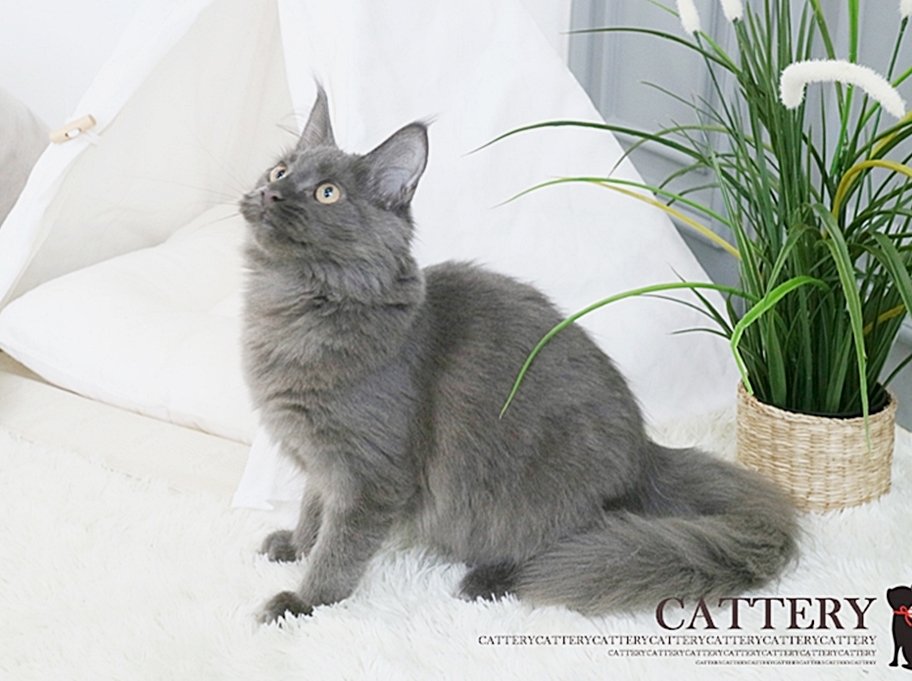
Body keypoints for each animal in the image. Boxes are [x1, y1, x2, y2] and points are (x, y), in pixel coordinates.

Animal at [239, 87, 798, 624]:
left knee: (565, 544)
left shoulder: (370, 472)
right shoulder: (320, 458)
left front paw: (303, 602)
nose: (271, 191)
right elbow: (314, 511)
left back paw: (488, 581)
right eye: (281, 170)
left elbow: (340, 548)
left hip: (540, 491)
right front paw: (295, 546)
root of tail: (646, 455)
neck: (293, 306)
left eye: (327, 193)